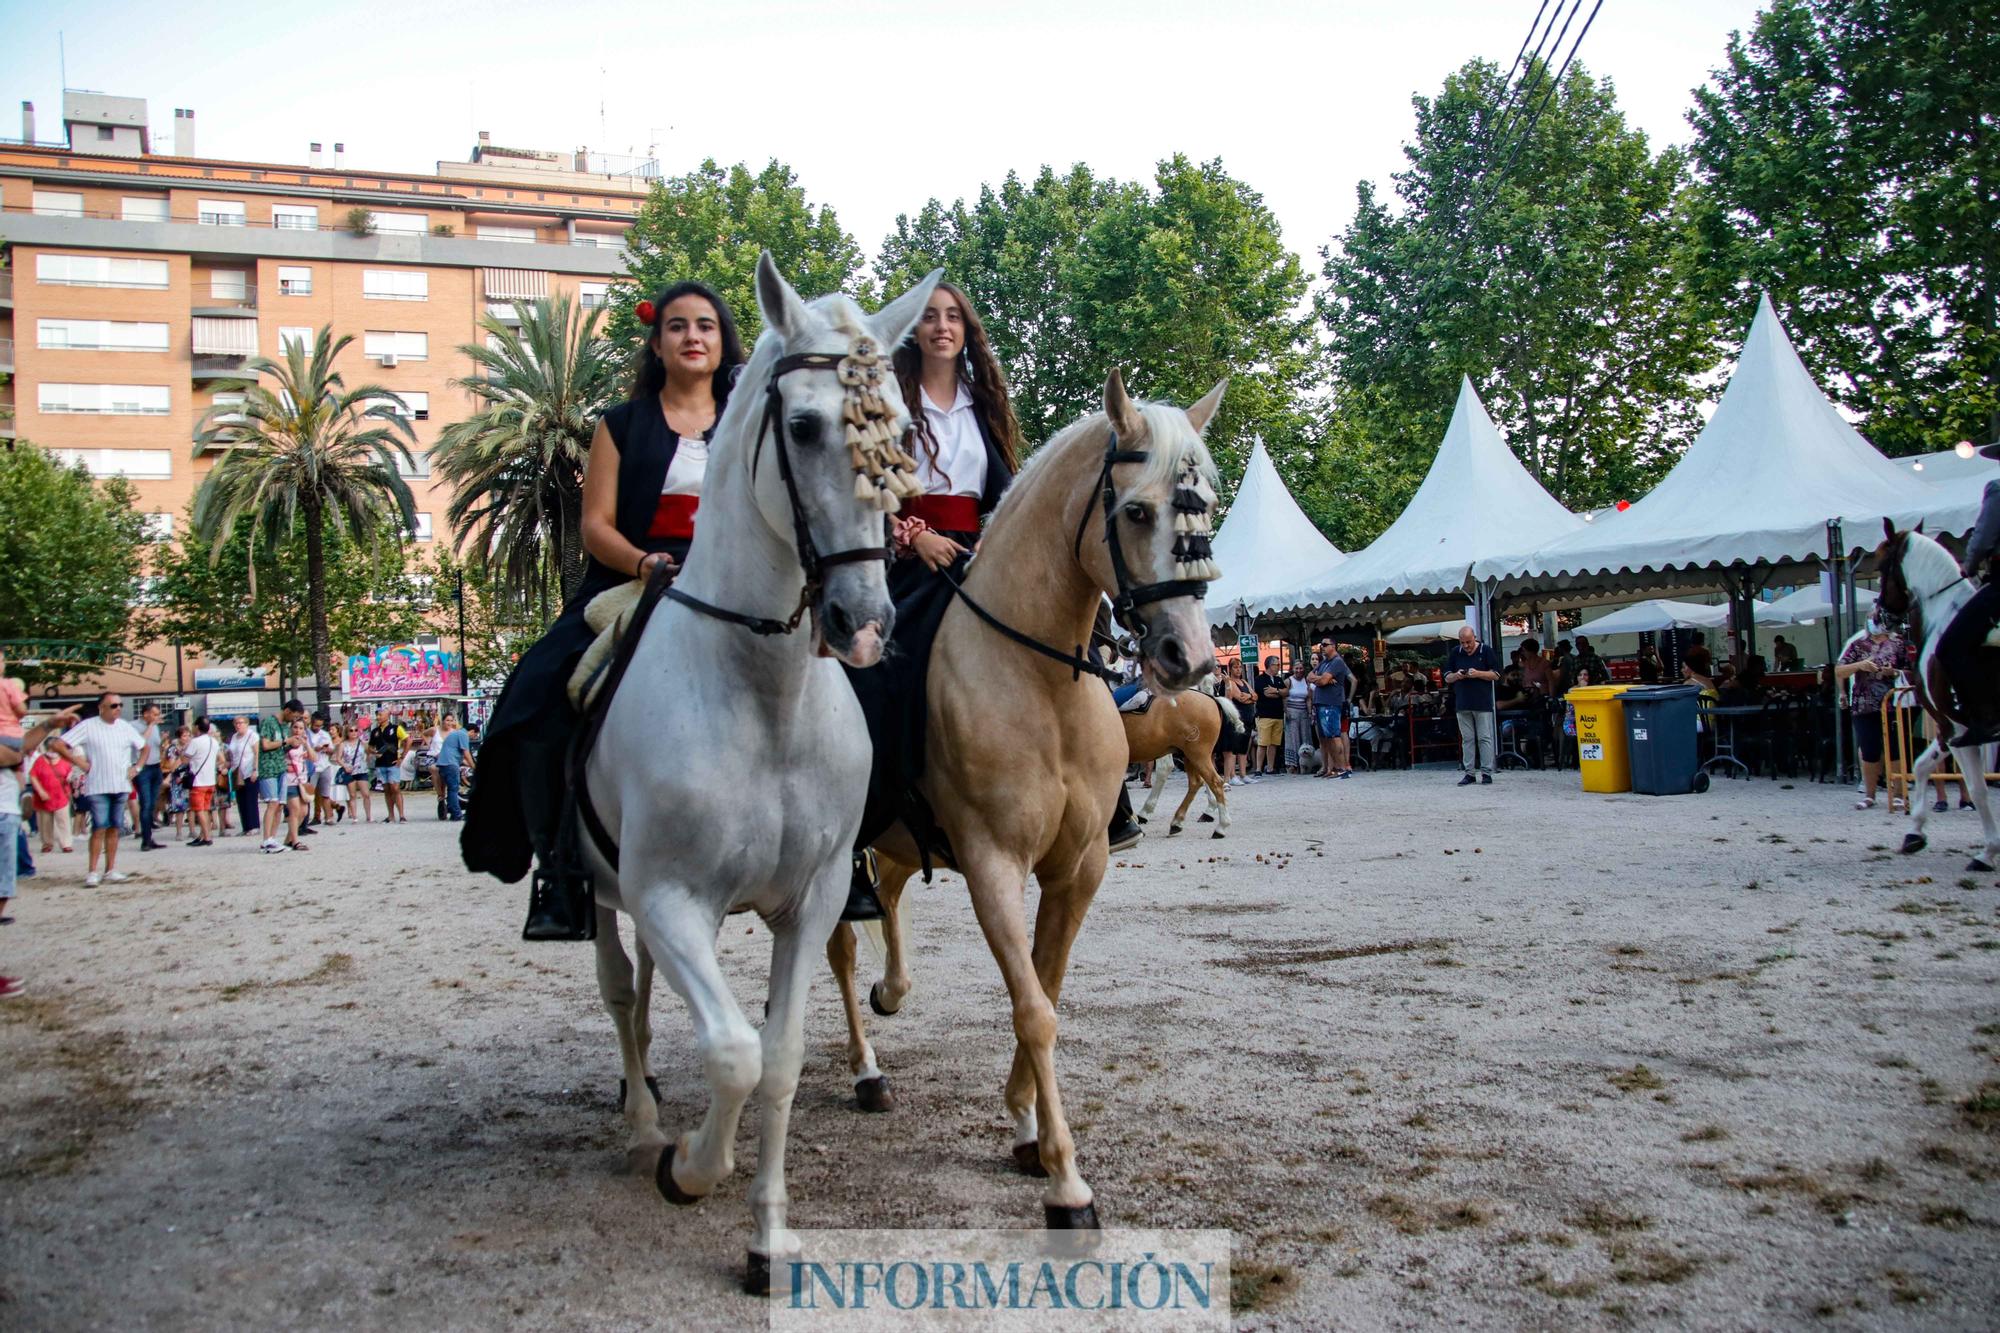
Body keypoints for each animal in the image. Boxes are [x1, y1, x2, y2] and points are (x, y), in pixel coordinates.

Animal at [584, 252, 944, 1288]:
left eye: (899, 434)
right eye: (806, 426)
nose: (864, 622)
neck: (762, 699)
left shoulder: (813, 895)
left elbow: (775, 1057)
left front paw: (767, 1236)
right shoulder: (671, 897)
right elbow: (734, 1052)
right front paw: (690, 1167)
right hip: (600, 889)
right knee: (620, 989)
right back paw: (643, 1123)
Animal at [824, 370, 1216, 1224]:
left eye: (1206, 505)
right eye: (1138, 511)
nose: (1191, 658)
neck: (1040, 679)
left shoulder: (1079, 868)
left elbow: (1048, 982)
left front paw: (1027, 1124)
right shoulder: (994, 864)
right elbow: (1034, 1006)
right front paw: (1066, 1176)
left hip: (900, 835)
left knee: (890, 900)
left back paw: (892, 992)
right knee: (839, 944)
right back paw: (866, 1069)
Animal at [1128, 684, 1232, 832]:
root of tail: (1211, 699)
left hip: (1196, 754)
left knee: (1214, 781)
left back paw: (1220, 826)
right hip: (1189, 755)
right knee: (1196, 782)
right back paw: (1177, 821)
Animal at [1872, 520, 2000, 872]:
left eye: (1880, 566)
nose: (1878, 617)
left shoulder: (1956, 729)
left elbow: (1978, 789)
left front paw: (1987, 853)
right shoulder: (1949, 730)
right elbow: (1920, 766)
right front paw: (1914, 833)